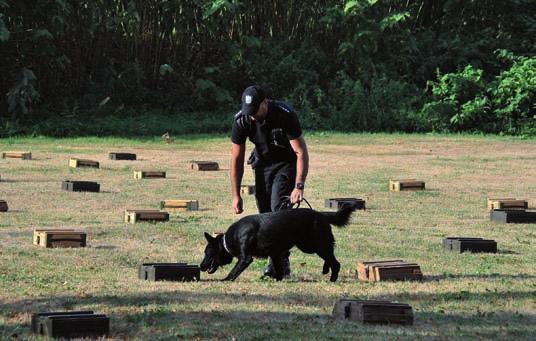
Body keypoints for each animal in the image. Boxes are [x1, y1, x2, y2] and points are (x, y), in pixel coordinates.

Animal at [199, 203, 354, 280]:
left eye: (207, 252)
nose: (200, 266)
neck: (232, 238)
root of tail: (321, 214)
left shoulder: (245, 258)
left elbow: (233, 272)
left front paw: (224, 280)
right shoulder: (275, 254)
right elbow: (279, 270)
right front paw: (277, 280)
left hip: (314, 245)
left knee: (335, 262)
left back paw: (332, 278)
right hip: (309, 246)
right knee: (330, 257)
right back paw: (325, 269)